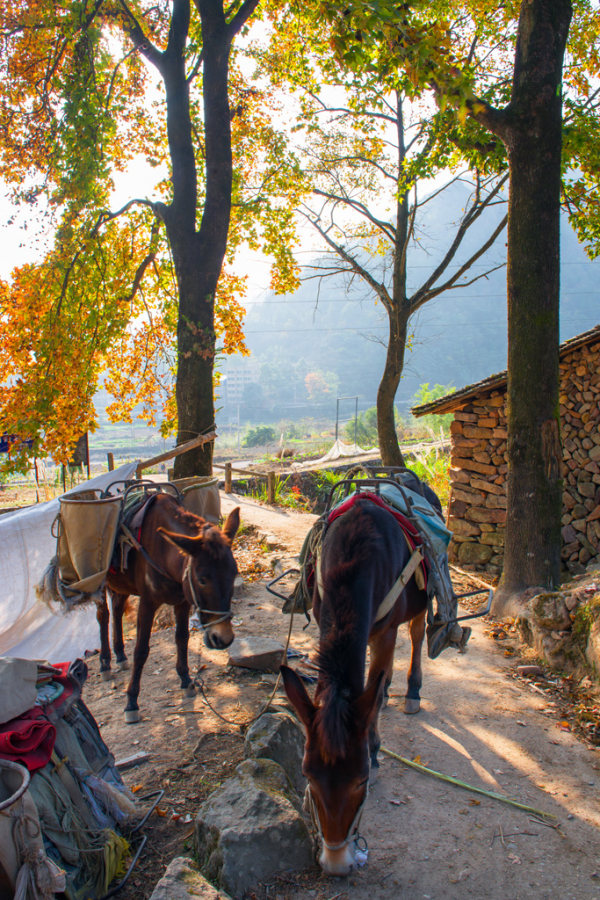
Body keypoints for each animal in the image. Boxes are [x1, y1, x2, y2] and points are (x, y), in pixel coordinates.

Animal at [101, 492, 240, 723]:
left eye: (234, 574)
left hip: (121, 584)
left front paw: (186, 679)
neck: (164, 551)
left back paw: (120, 655)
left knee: (118, 610)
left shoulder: (183, 601)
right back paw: (105, 662)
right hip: (98, 583)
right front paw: (131, 701)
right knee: (103, 616)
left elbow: (182, 638)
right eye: (202, 580)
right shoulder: (147, 603)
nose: (224, 639)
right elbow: (141, 649)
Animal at [281, 493, 429, 876]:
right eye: (308, 776)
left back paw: (411, 691)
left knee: (417, 634)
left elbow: (375, 683)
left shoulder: (385, 631)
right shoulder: (325, 621)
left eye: (360, 780)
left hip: (417, 610)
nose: (336, 863)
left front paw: (375, 751)